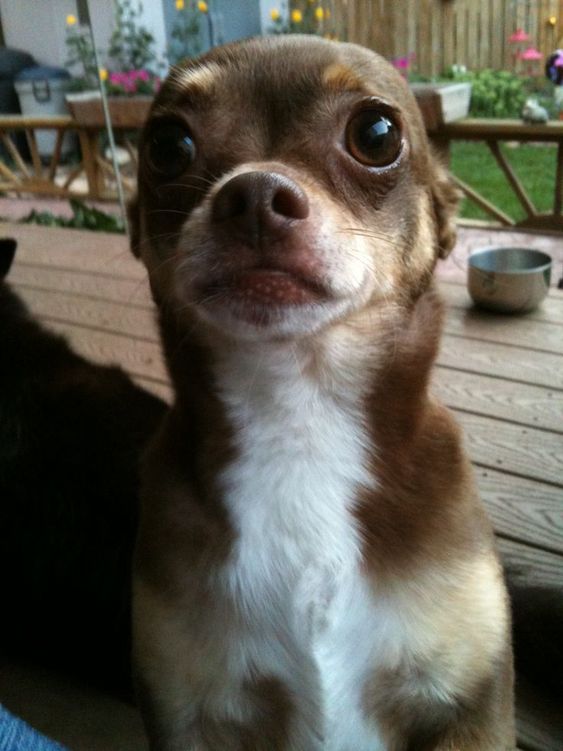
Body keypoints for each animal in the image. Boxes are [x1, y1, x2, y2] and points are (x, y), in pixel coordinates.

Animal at [131, 36, 516, 751]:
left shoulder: (472, 707)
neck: (299, 417)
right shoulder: (186, 713)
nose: (254, 192)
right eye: (168, 146)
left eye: (376, 134)